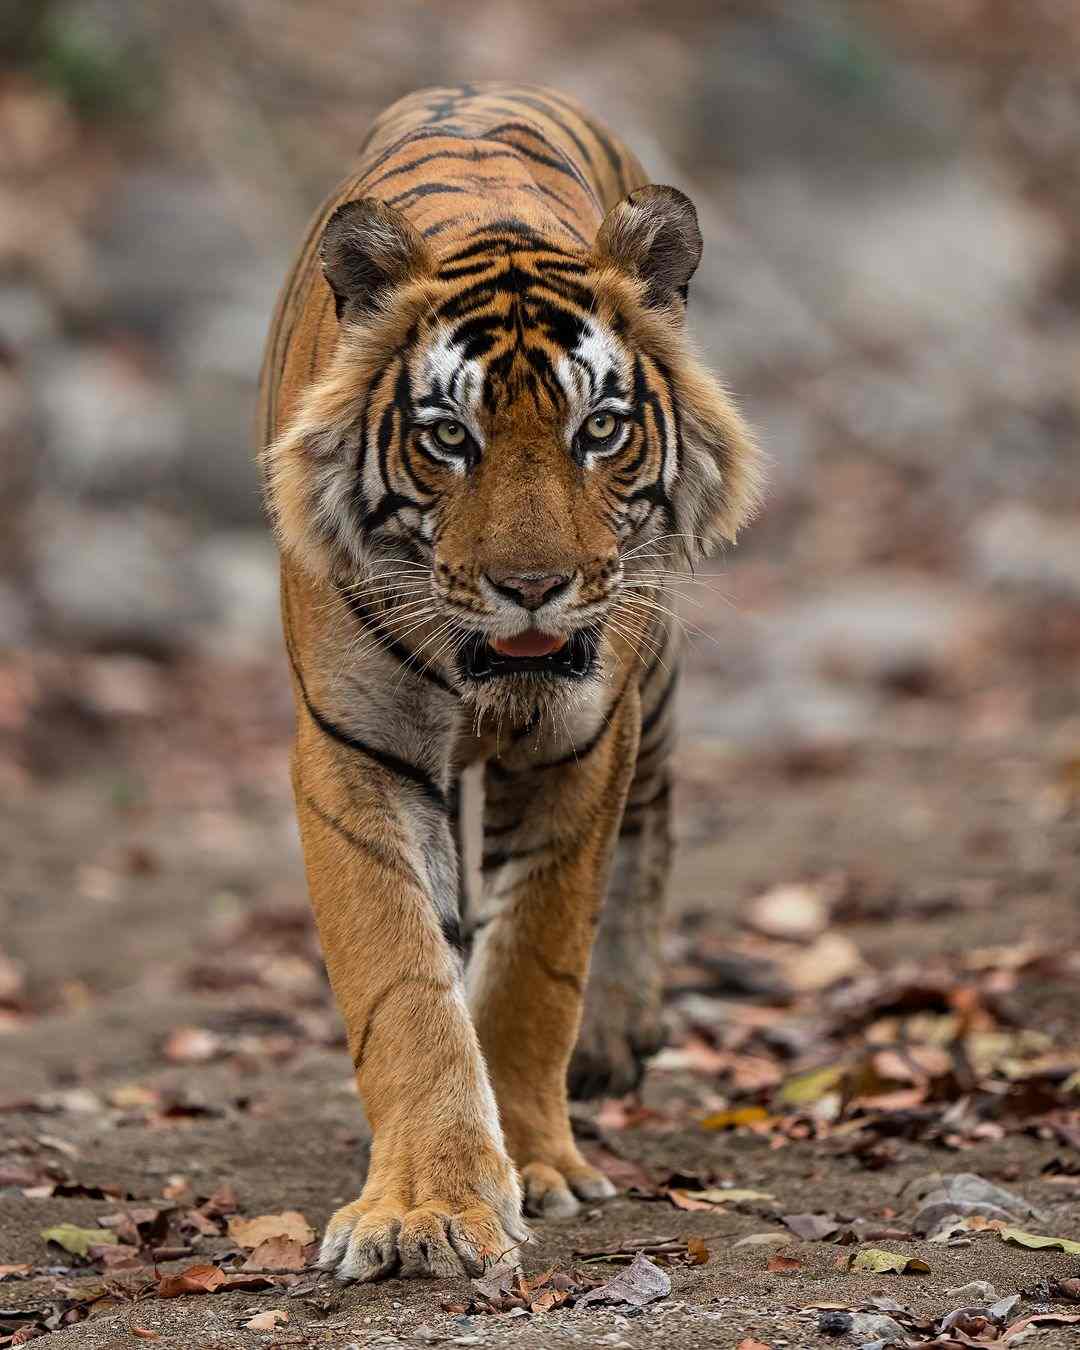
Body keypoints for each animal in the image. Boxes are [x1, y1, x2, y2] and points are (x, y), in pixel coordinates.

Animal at [258, 82, 762, 1282]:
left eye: (601, 429)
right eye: (450, 437)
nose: (532, 587)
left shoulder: (585, 739)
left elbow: (537, 961)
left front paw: (534, 1165)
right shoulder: (355, 751)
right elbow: (405, 984)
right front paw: (428, 1206)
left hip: (653, 673)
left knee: (654, 824)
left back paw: (619, 1033)